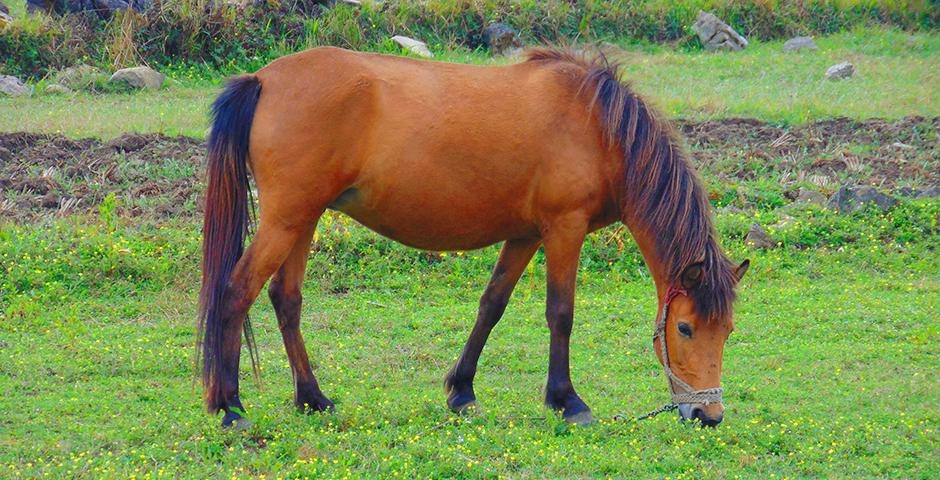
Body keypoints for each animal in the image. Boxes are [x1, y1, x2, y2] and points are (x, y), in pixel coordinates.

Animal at [196, 46, 748, 428]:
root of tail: (263, 79)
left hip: (303, 220)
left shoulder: (525, 235)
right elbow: (560, 313)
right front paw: (567, 401)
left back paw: (312, 399)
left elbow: (491, 305)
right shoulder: (563, 228)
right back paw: (230, 406)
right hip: (286, 220)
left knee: (285, 300)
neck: (599, 129)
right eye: (684, 329)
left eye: (727, 330)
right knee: (235, 293)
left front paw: (461, 391)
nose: (709, 415)